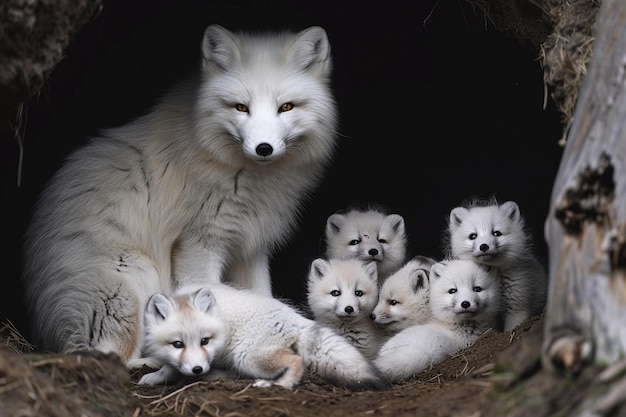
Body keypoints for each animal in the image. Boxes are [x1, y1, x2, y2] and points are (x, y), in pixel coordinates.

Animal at [22, 24, 338, 364]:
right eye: (241, 107)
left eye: (286, 107)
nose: (263, 148)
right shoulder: (197, 246)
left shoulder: (250, 246)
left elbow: (260, 292)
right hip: (136, 276)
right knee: (113, 355)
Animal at [135, 282, 386, 390]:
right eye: (178, 344)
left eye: (204, 341)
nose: (198, 369)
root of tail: (295, 318)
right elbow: (170, 366)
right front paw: (156, 377)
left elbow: (172, 368)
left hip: (247, 357)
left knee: (296, 360)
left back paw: (280, 385)